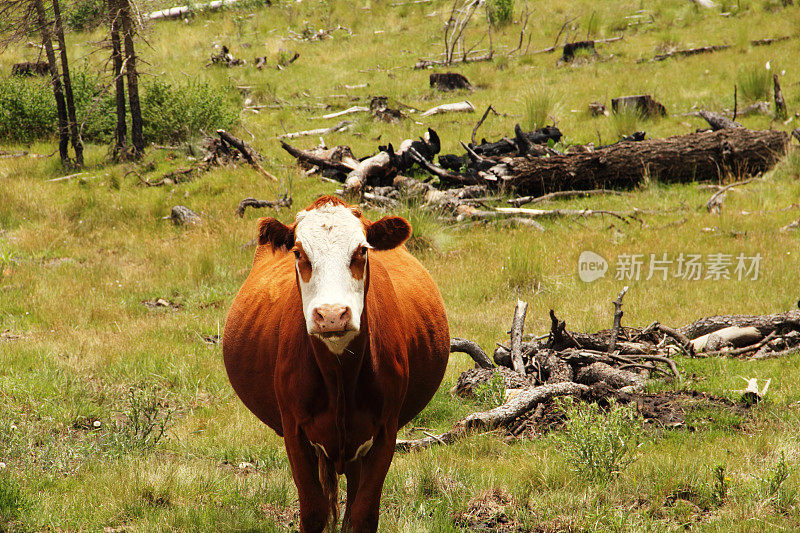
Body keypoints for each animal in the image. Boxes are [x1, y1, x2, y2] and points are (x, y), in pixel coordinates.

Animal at [225, 196, 450, 532]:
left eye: (362, 250)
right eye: (299, 252)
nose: (331, 315)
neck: (339, 376)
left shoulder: (385, 432)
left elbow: (362, 514)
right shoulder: (295, 432)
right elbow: (314, 512)